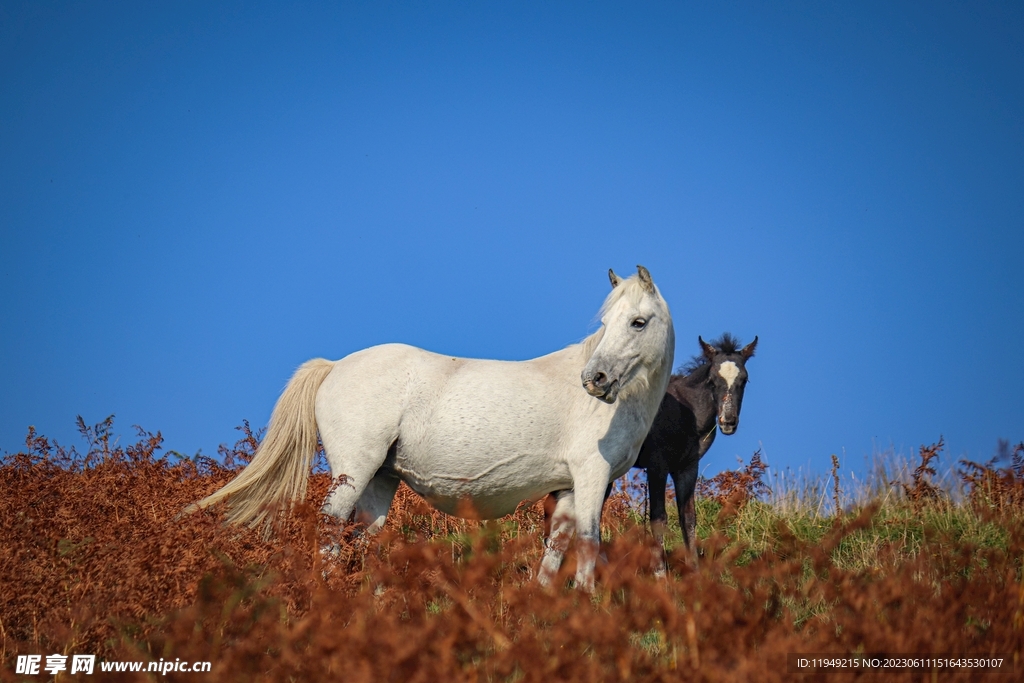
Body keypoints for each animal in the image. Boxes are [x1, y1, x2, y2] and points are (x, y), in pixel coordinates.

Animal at [186, 266, 675, 592]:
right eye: (605, 324)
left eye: (637, 322)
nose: (595, 380)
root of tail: (335, 366)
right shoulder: (591, 476)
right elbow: (590, 542)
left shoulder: (570, 487)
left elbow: (557, 545)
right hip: (353, 472)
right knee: (330, 532)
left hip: (380, 480)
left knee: (367, 539)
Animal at [544, 332, 756, 576]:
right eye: (712, 380)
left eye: (744, 380)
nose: (728, 421)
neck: (687, 414)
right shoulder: (657, 466)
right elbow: (658, 517)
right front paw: (660, 574)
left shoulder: (687, 467)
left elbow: (688, 517)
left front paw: (695, 572)